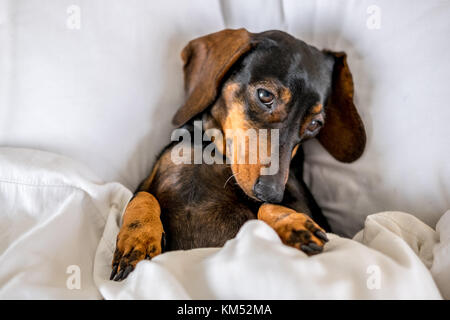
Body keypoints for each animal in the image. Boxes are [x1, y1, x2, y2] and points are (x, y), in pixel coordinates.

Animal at [110, 28, 366, 282]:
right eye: (265, 95)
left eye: (315, 124)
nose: (272, 193)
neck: (214, 153)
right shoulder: (148, 181)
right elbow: (142, 196)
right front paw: (138, 239)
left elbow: (264, 209)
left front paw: (291, 222)